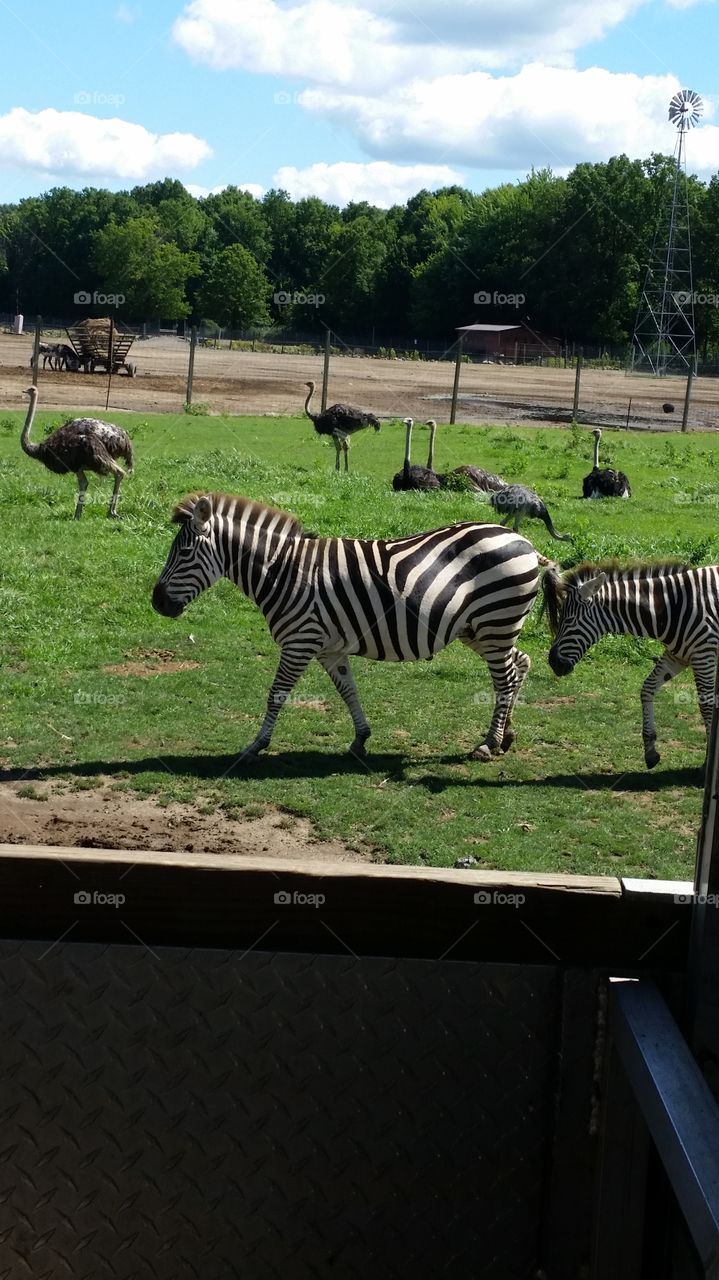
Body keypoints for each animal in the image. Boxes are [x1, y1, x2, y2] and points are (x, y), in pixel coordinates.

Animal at [151, 492, 542, 762]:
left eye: (183, 553)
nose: (156, 603)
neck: (282, 570)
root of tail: (524, 542)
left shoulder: (299, 642)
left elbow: (276, 693)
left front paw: (255, 746)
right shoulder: (329, 648)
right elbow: (348, 691)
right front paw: (360, 739)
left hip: (495, 621)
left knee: (505, 679)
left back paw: (489, 743)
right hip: (482, 629)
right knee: (520, 663)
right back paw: (506, 735)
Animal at [544, 560, 719, 768]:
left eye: (569, 620)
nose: (552, 662)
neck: (671, 608)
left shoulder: (704, 655)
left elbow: (707, 706)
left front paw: (708, 763)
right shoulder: (678, 656)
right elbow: (647, 689)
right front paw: (650, 751)